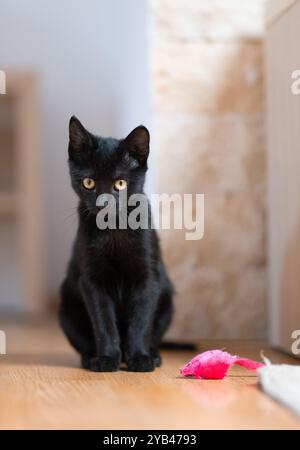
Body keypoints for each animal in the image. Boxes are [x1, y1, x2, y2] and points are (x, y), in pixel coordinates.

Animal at [59, 117, 173, 372]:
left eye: (120, 183)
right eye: (88, 182)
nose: (103, 204)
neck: (114, 230)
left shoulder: (148, 278)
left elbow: (140, 321)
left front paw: (140, 358)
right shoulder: (92, 281)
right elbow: (103, 323)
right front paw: (106, 358)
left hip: (167, 300)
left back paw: (154, 355)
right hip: (67, 308)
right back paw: (90, 357)